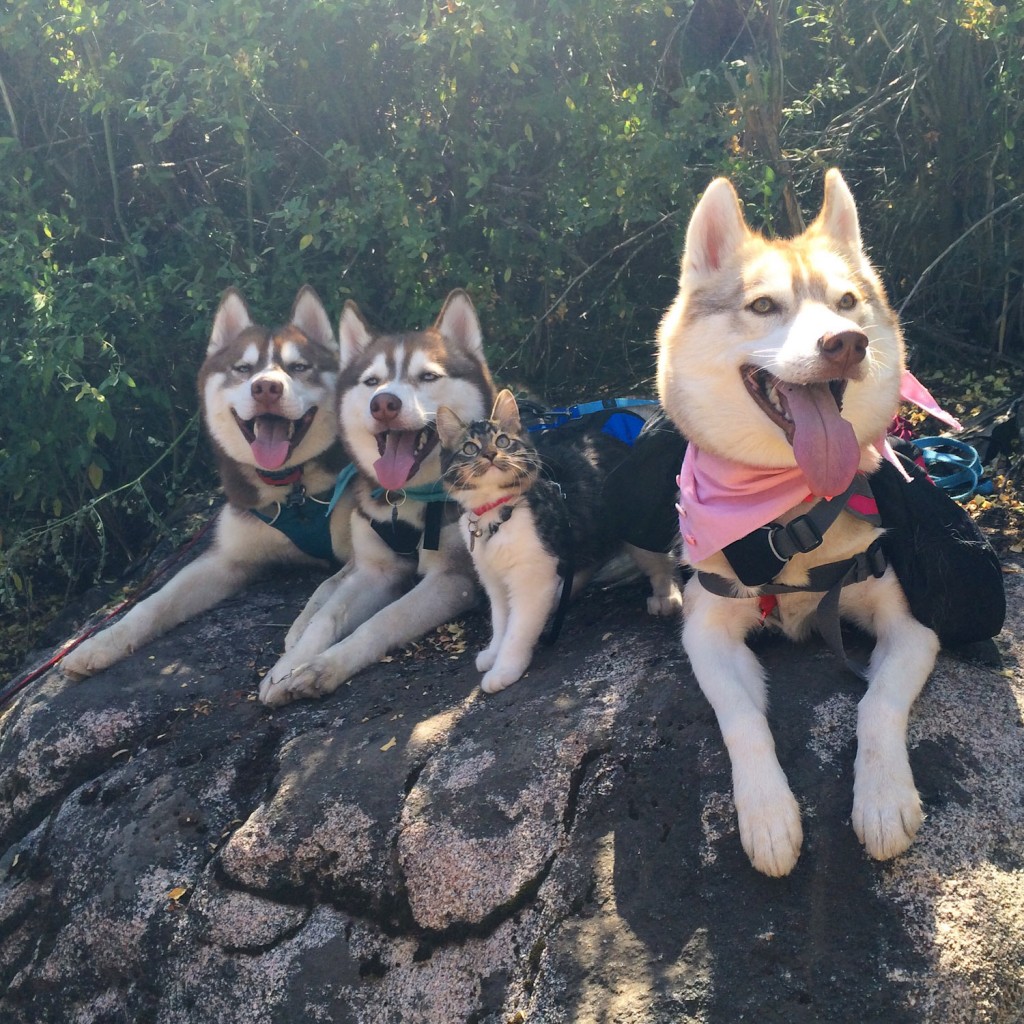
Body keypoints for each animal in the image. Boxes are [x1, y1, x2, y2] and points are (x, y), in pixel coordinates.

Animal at [65, 286, 352, 679]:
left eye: (298, 367)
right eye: (243, 369)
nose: (266, 387)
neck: (292, 490)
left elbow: (332, 583)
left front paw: (303, 628)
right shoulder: (224, 558)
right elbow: (153, 602)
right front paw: (98, 644)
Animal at [258, 288, 493, 704]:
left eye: (428, 376)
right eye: (372, 381)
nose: (384, 403)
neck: (406, 499)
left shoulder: (454, 577)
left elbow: (386, 619)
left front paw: (323, 667)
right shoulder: (377, 571)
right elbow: (327, 618)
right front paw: (286, 669)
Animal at [434, 387, 679, 692]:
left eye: (503, 441)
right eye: (470, 448)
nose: (490, 454)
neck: (497, 514)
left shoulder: (531, 578)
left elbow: (516, 630)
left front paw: (504, 668)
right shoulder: (494, 579)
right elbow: (500, 621)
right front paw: (493, 652)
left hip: (634, 526)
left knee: (659, 562)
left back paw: (666, 596)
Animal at [659, 172, 937, 876]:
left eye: (846, 302)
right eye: (763, 306)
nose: (845, 343)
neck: (787, 517)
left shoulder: (911, 627)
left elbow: (877, 703)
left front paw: (883, 800)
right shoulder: (707, 633)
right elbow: (742, 721)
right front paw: (768, 815)